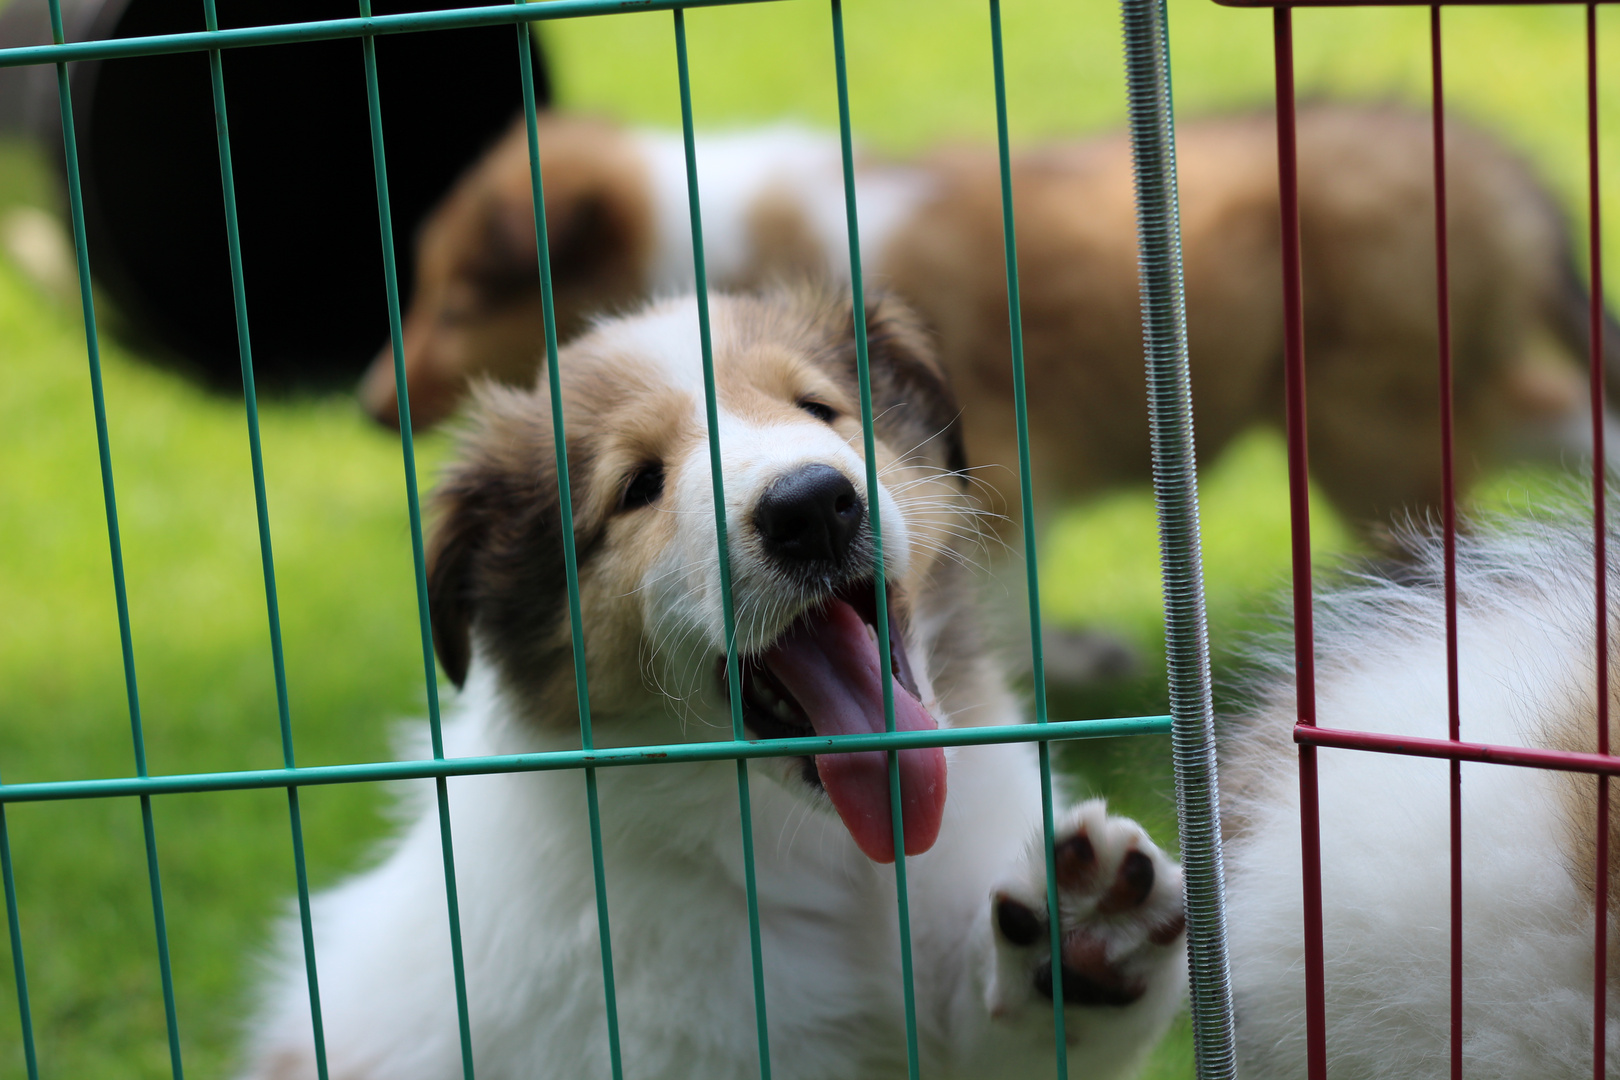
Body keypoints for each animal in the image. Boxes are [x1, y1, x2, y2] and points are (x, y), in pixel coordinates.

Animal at [361, 105, 1613, 537]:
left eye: (461, 302)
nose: (368, 408)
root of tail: (1490, 158)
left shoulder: (989, 469)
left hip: (1364, 423)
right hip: (1423, 394)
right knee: (1574, 422)